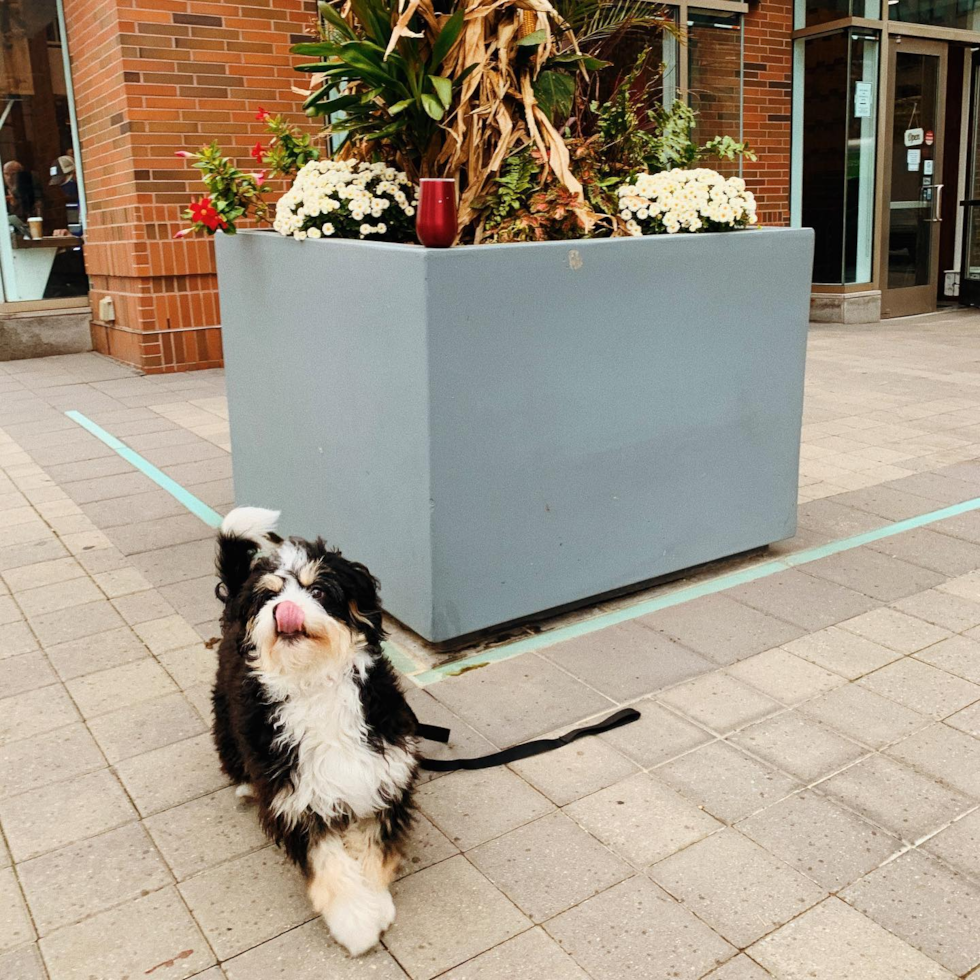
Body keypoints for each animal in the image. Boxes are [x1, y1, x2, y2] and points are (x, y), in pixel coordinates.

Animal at [212, 510, 418, 952]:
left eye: (319, 590)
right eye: (268, 596)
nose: (285, 610)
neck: (315, 683)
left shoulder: (382, 774)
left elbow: (372, 848)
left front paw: (374, 902)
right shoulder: (294, 796)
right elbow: (329, 862)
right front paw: (356, 919)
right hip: (225, 716)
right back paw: (245, 785)